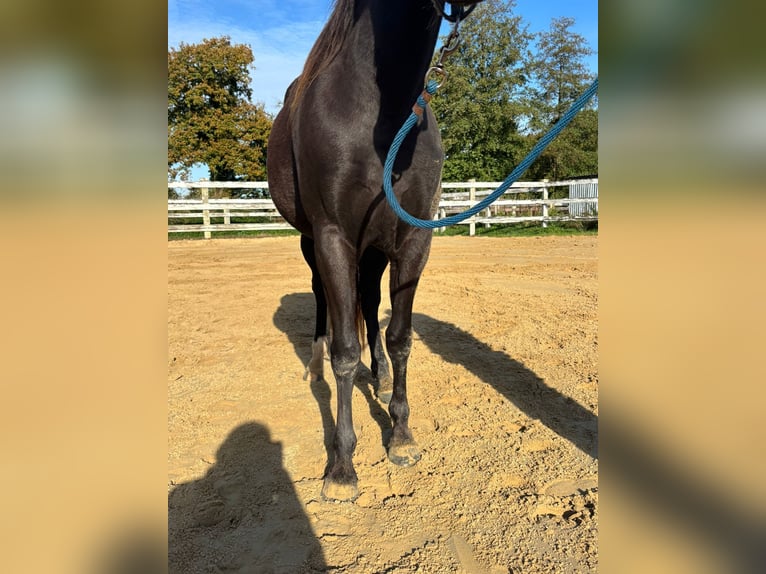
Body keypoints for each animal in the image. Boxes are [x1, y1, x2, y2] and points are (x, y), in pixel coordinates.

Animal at [267, 0, 484, 501]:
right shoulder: (333, 237)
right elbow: (346, 350)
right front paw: (341, 467)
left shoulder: (413, 238)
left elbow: (399, 336)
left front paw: (401, 435)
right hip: (314, 244)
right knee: (325, 303)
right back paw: (314, 366)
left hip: (374, 251)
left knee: (367, 303)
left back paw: (380, 376)